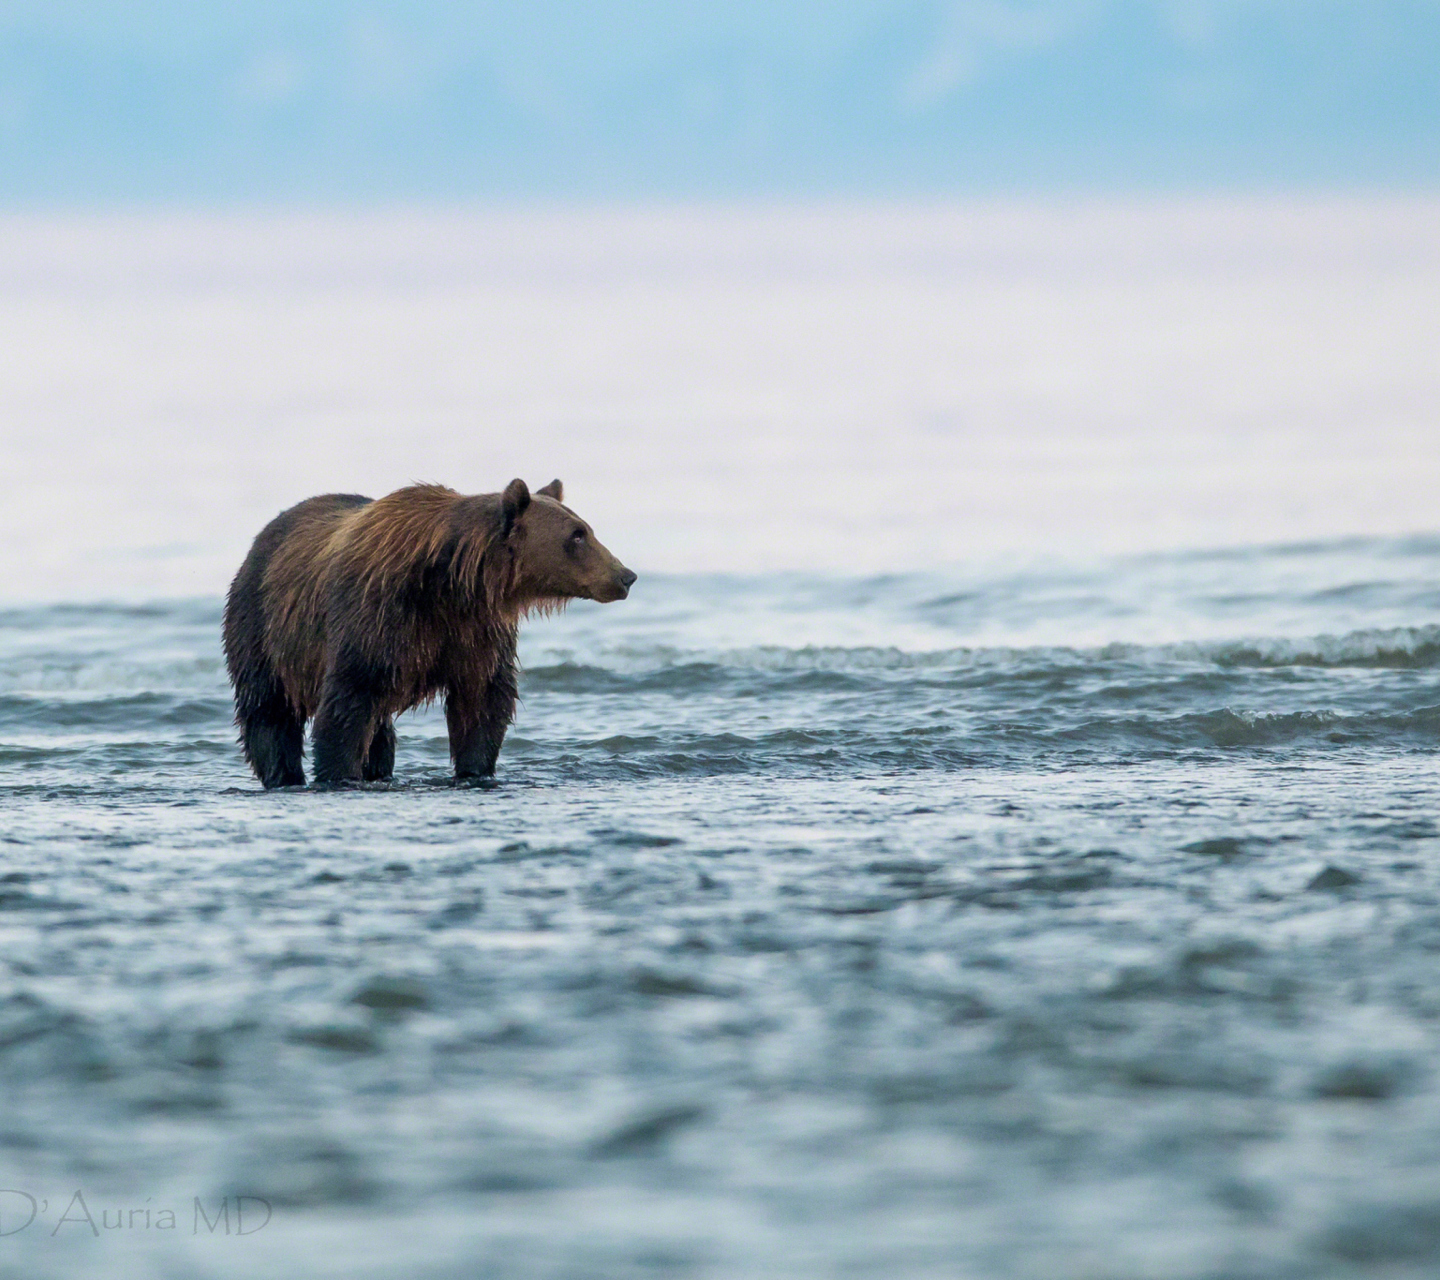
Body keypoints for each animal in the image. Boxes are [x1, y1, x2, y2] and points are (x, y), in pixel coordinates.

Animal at [221, 475, 633, 783]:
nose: (626, 575)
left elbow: (483, 701)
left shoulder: (475, 630)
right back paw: (282, 773)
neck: (450, 581)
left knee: (380, 731)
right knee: (268, 710)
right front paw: (338, 771)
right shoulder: (376, 617)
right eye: (577, 535)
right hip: (260, 623)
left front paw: (475, 769)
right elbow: (346, 704)